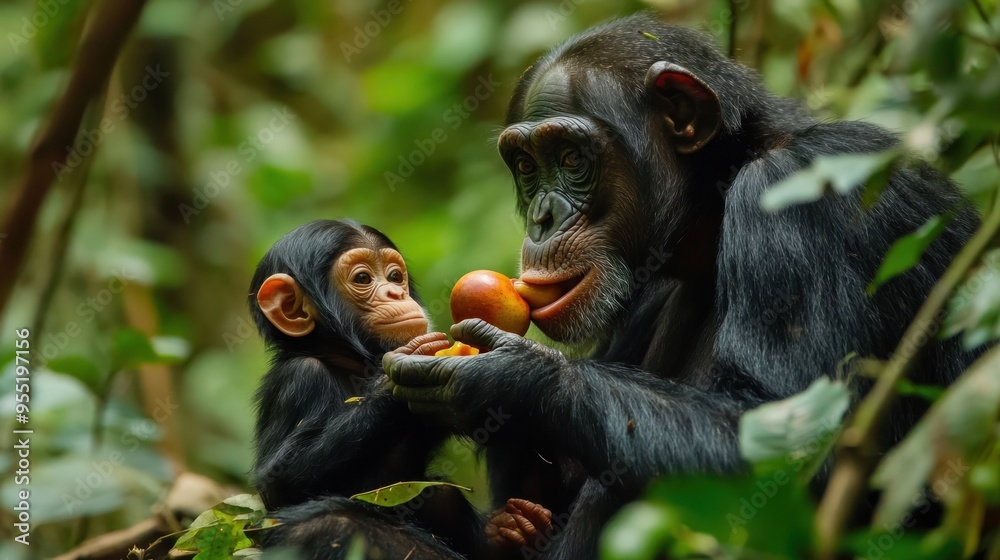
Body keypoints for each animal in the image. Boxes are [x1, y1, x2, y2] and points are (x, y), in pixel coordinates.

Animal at [248, 220, 486, 560]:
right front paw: (398, 373)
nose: (395, 292)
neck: (348, 362)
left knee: (443, 496)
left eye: (395, 276)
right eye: (362, 279)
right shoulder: (300, 378)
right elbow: (279, 481)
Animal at [382, 13, 984, 560]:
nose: (542, 217)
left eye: (571, 158)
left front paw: (505, 378)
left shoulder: (805, 198)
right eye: (527, 165)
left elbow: (790, 438)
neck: (714, 206)